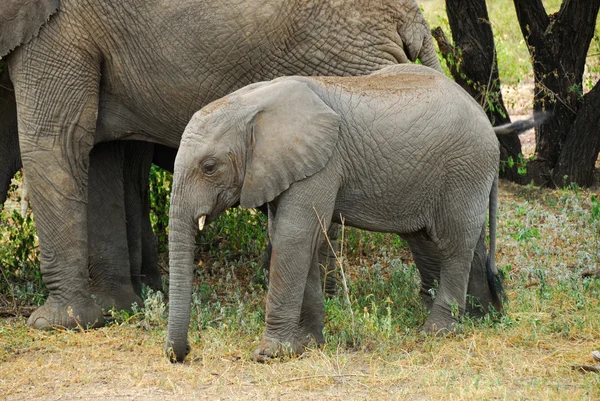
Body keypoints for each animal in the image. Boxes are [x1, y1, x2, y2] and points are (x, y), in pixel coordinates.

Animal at [0, 0, 440, 328]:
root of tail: (412, 15)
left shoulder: (58, 28)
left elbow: (55, 140)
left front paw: (57, 322)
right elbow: (98, 151)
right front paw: (116, 309)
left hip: (348, 64)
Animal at [168, 64, 502, 360]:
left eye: (209, 167)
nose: (184, 353)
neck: (253, 103)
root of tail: (487, 123)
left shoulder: (323, 163)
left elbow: (294, 236)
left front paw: (270, 354)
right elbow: (294, 237)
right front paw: (307, 344)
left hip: (464, 167)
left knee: (454, 243)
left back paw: (439, 330)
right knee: (462, 242)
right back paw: (482, 318)